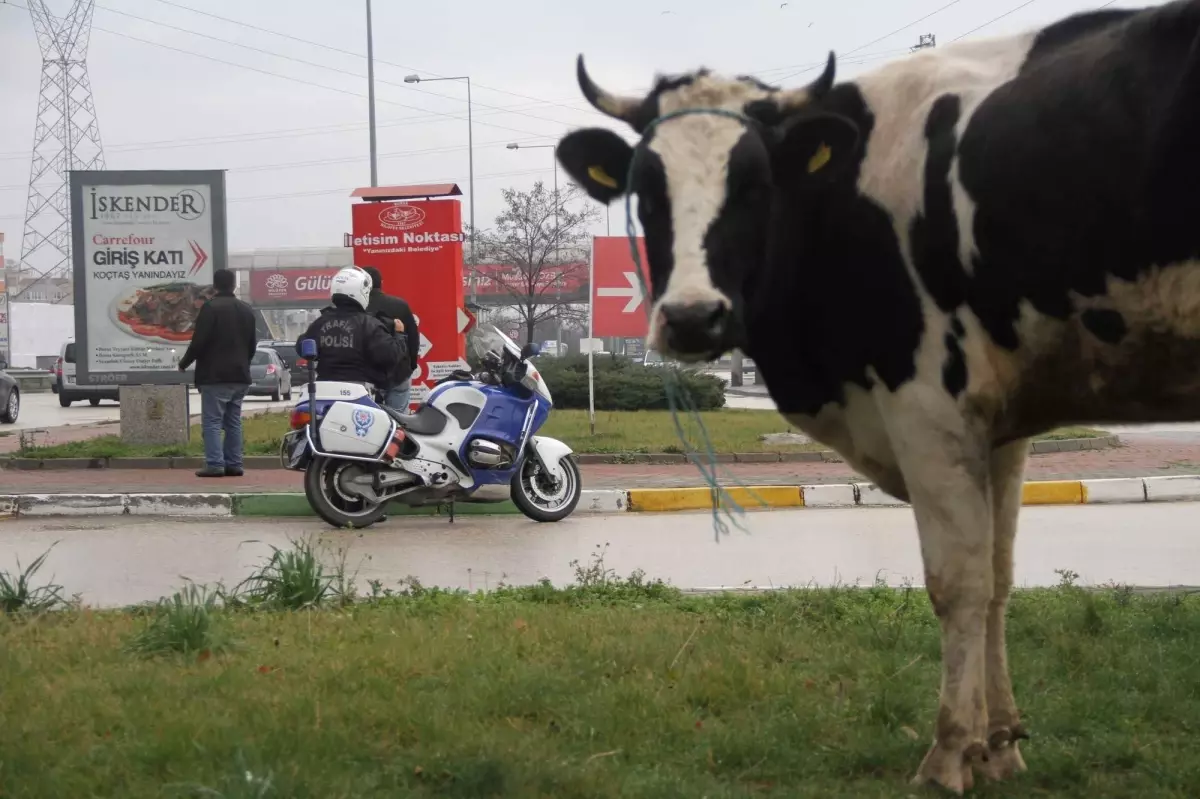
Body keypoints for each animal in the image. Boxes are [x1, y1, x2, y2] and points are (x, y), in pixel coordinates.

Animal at [556, 1, 1200, 791]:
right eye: (646, 189)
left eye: (756, 183)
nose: (691, 317)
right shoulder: (1003, 421)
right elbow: (999, 575)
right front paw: (1001, 743)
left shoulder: (927, 402)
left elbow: (958, 581)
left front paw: (951, 752)